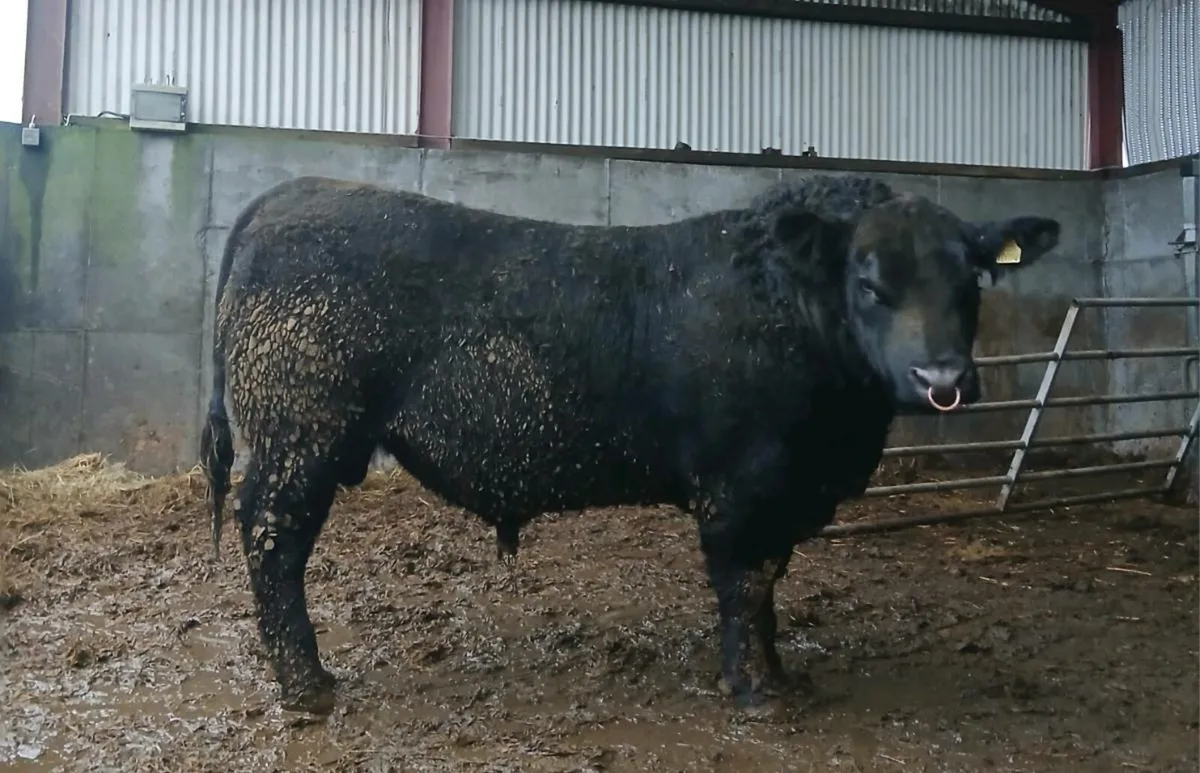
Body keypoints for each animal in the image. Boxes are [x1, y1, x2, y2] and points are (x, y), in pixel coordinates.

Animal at [199, 173, 1061, 716]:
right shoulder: (741, 486)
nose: (942, 376)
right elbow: (746, 582)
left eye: (972, 282)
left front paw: (783, 676)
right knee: (273, 541)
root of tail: (297, 190)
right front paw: (758, 692)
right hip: (297, 437)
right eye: (870, 283)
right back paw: (310, 687)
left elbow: (771, 584)